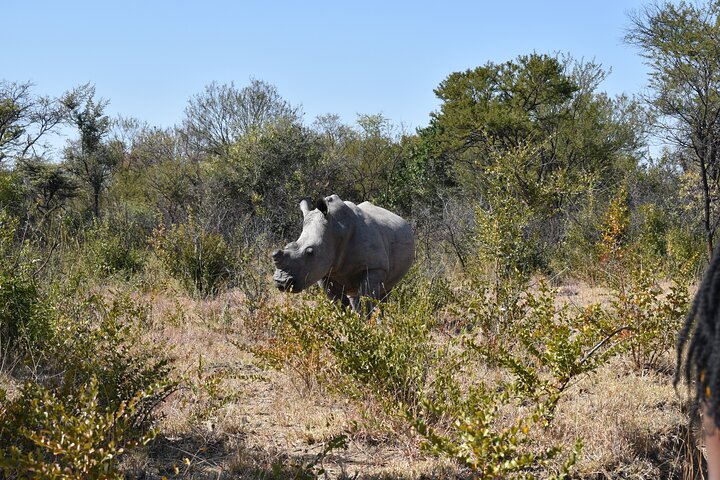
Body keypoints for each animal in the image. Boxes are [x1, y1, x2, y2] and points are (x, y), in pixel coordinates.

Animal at [272, 194, 415, 311]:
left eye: (310, 252)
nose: (281, 282)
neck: (335, 230)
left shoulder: (375, 267)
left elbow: (369, 299)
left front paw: (370, 324)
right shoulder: (324, 273)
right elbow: (338, 302)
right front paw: (348, 322)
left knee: (384, 291)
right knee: (354, 295)